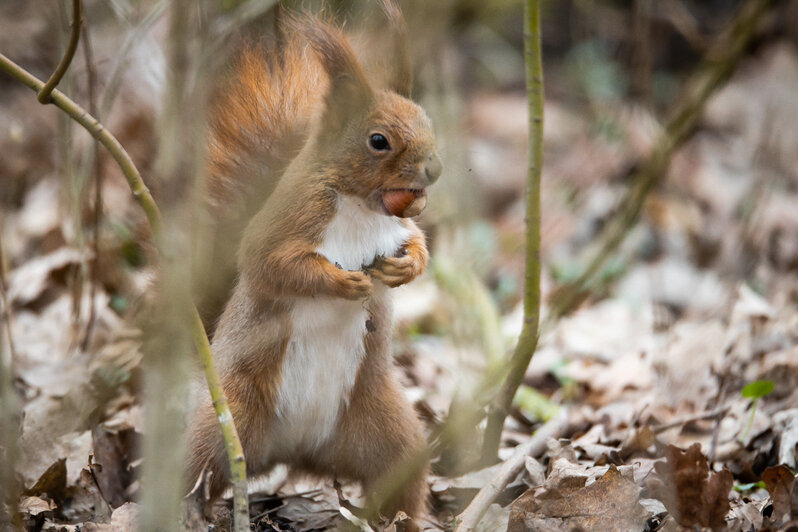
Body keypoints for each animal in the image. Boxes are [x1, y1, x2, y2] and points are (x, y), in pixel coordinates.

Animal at [188, 2, 444, 520]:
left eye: (426, 119)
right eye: (378, 140)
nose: (434, 169)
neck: (361, 205)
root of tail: (295, 452)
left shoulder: (400, 227)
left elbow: (419, 244)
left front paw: (403, 269)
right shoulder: (289, 221)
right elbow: (269, 264)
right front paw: (343, 284)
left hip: (389, 431)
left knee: (400, 475)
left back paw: (405, 520)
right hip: (230, 416)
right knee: (198, 466)